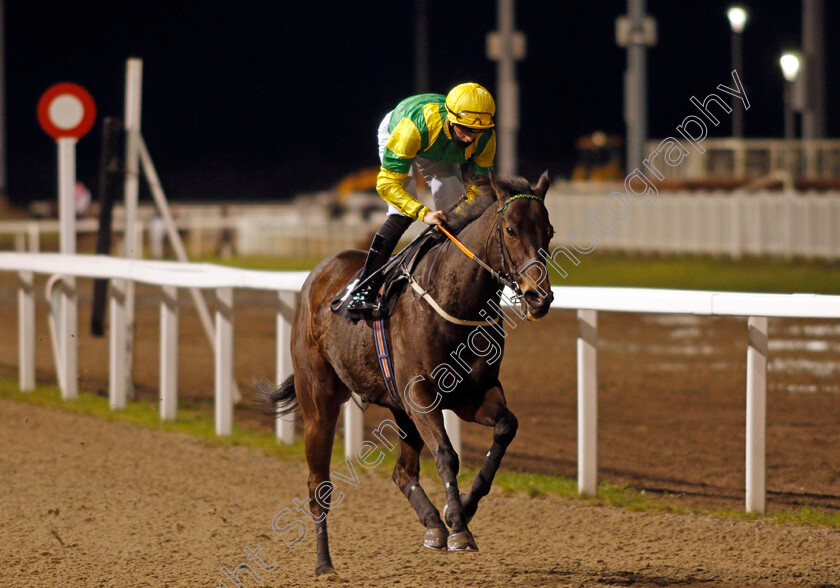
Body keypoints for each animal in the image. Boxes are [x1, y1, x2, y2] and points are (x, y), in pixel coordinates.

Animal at [270, 172, 556, 576]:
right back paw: (324, 563)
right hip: (319, 401)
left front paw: (461, 511)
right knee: (318, 486)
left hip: (399, 409)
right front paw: (460, 529)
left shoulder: (472, 394)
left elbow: (505, 427)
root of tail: (320, 273)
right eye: (511, 229)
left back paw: (434, 524)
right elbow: (447, 455)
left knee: (402, 472)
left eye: (549, 231)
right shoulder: (421, 396)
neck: (454, 304)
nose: (538, 298)